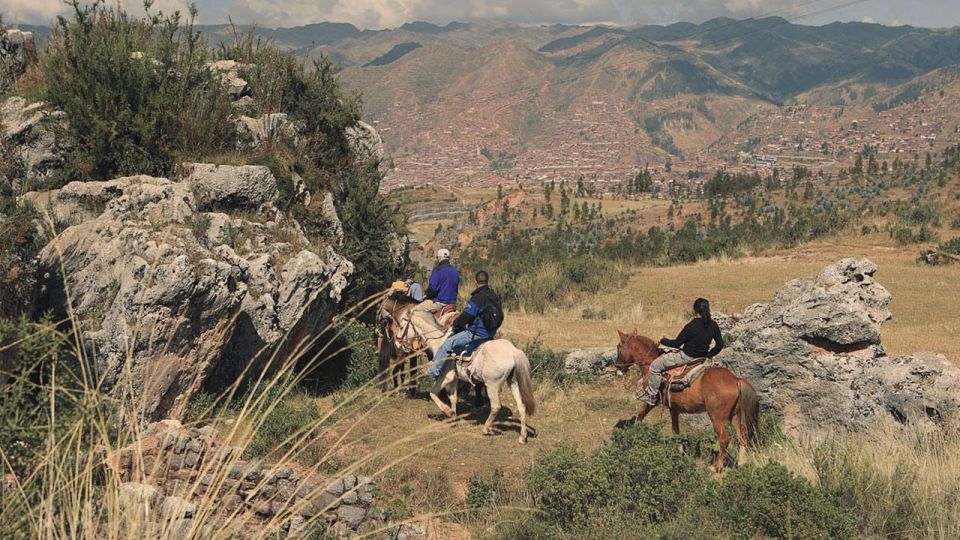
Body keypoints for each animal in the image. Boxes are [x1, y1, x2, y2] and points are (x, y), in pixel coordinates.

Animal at [404, 310, 536, 446]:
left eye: (403, 325)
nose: (400, 343)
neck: (439, 341)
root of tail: (514, 352)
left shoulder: (446, 377)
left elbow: (433, 393)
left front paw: (448, 411)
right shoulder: (454, 379)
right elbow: (453, 398)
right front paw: (453, 416)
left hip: (492, 385)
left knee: (495, 407)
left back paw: (486, 428)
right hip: (513, 382)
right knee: (521, 406)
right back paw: (522, 436)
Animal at [616, 330, 756, 472]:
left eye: (618, 347)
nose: (617, 368)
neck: (650, 363)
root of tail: (736, 379)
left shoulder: (653, 400)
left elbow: (640, 415)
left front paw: (633, 432)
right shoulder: (674, 409)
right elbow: (675, 431)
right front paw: (679, 452)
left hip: (717, 418)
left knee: (724, 439)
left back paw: (715, 466)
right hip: (735, 415)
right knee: (741, 437)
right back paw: (742, 462)